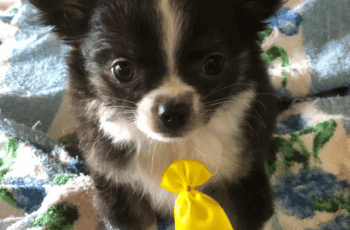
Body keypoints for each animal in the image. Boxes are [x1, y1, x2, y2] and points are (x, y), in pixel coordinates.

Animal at [28, 0, 284, 229]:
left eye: (214, 64)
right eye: (122, 69)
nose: (173, 111)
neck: (173, 147)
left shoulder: (242, 182)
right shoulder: (120, 188)